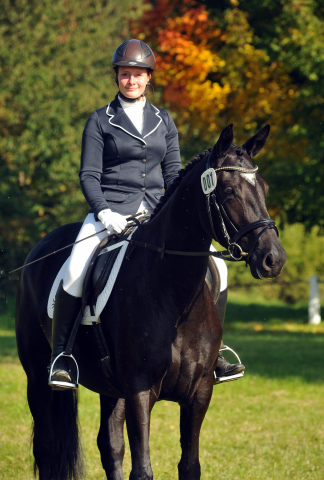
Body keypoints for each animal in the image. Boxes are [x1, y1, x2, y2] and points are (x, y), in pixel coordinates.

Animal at [16, 124, 288, 480]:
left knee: (110, 445)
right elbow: (142, 470)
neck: (173, 299)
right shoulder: (139, 390)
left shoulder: (199, 393)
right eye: (229, 191)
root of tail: (40, 247)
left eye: (265, 189)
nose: (274, 259)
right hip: (37, 375)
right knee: (48, 446)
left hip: (110, 388)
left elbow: (189, 466)